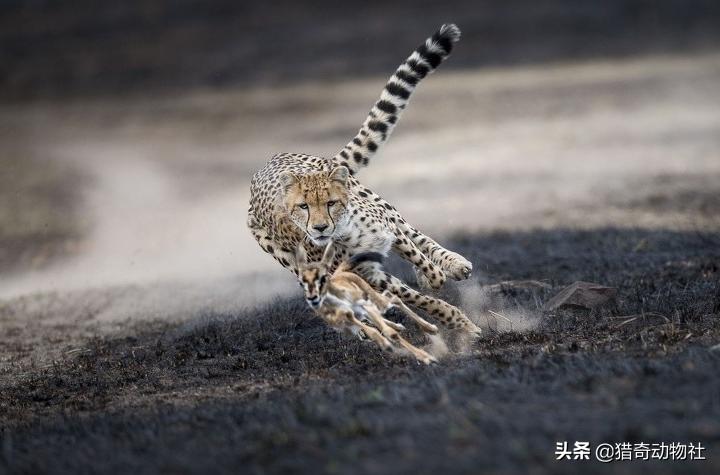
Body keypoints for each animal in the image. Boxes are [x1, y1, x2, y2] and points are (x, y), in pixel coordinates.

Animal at [250, 22, 480, 334]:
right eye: (303, 207)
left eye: (331, 203)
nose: (320, 228)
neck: (346, 234)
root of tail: (266, 164)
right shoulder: (370, 273)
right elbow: (417, 298)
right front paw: (455, 319)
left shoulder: (389, 231)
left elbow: (418, 255)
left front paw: (434, 277)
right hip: (297, 262)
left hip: (380, 204)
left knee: (418, 236)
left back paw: (453, 264)